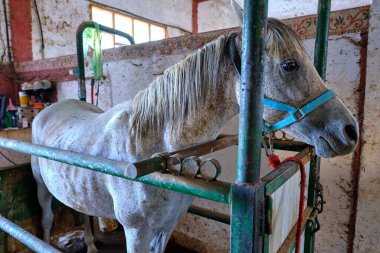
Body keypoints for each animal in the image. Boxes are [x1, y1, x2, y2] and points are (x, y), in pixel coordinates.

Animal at [31, 14, 358, 253]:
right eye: (289, 65)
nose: (350, 131)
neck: (157, 151)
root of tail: (50, 110)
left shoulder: (165, 227)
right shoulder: (136, 232)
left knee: (82, 214)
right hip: (42, 188)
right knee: (45, 219)